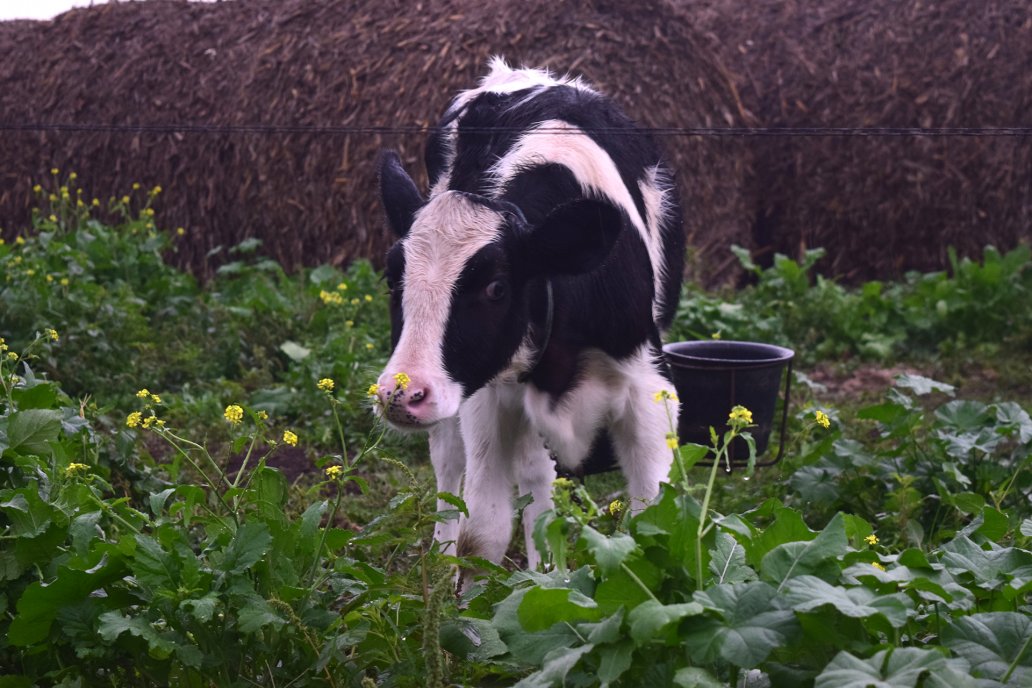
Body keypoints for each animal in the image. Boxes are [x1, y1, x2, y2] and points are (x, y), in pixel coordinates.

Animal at [373, 56, 685, 569]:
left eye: (497, 288)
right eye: (391, 279)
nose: (401, 393)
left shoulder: (650, 390)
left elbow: (654, 521)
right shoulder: (486, 398)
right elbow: (483, 533)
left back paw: (546, 572)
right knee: (455, 461)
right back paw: (446, 555)